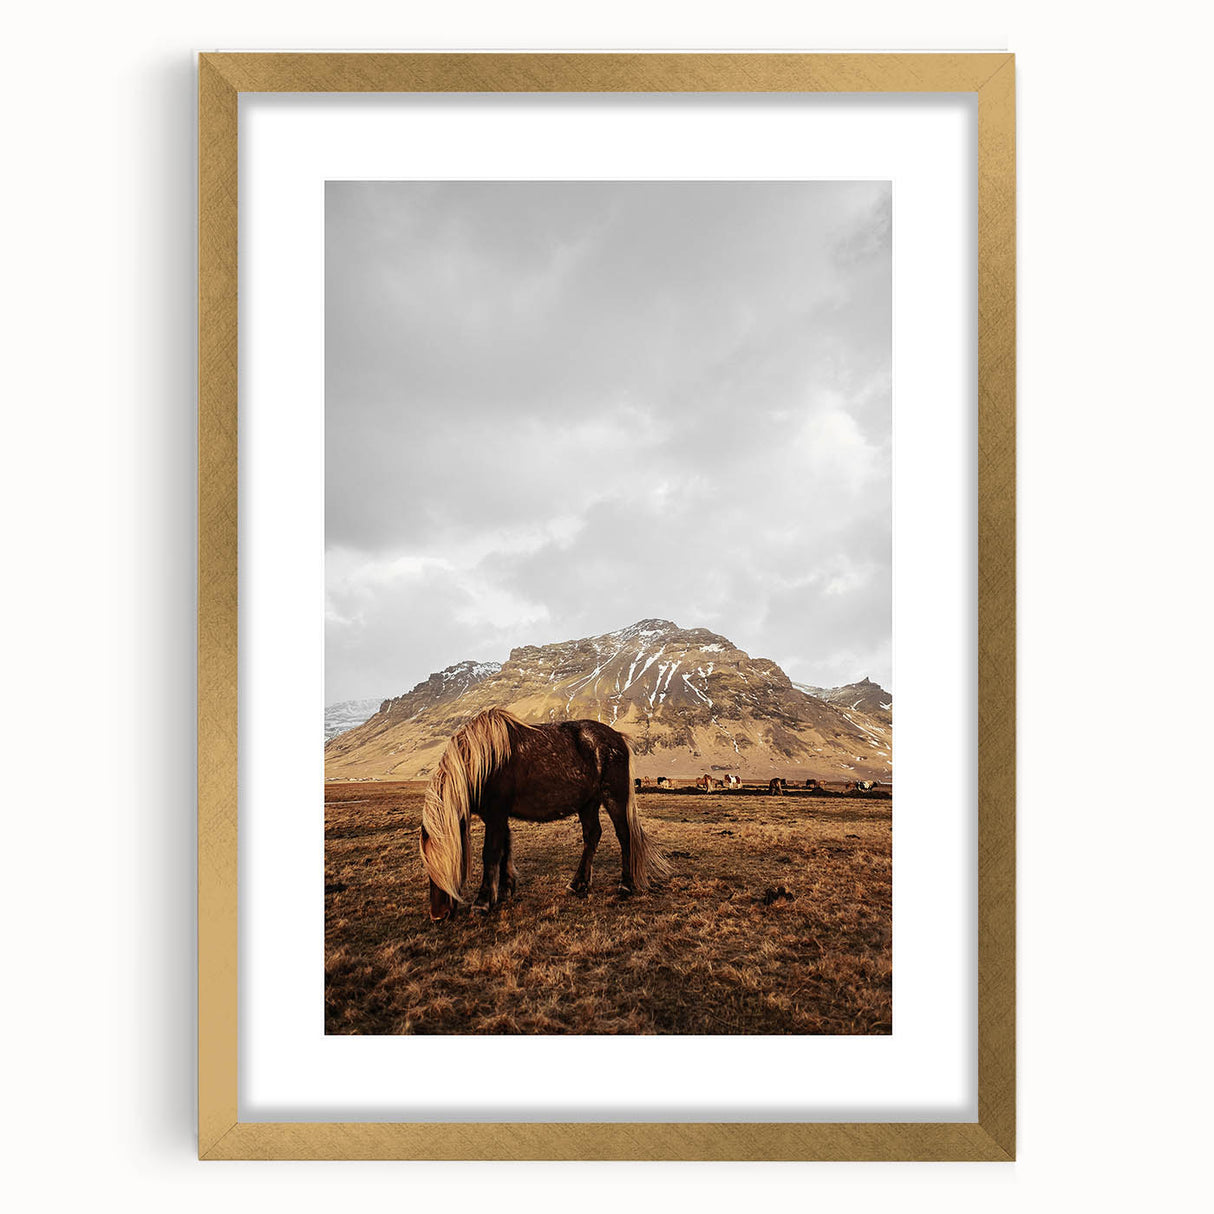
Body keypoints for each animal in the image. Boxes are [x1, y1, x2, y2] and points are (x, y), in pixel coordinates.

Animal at [419, 708, 669, 921]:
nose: (438, 915)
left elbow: (490, 853)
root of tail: (618, 738)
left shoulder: (496, 814)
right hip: (588, 803)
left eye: (447, 861)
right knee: (592, 835)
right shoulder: (499, 816)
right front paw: (505, 889)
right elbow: (505, 848)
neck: (484, 761)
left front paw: (482, 902)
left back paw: (625, 885)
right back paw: (578, 884)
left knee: (624, 835)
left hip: (613, 797)